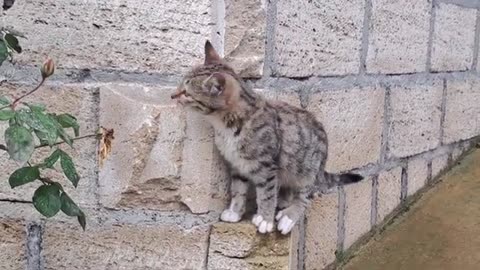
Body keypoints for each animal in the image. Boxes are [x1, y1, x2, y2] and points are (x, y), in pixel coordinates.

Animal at [171, 40, 362, 234]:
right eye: (181, 86)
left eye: (186, 93)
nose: (172, 95)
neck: (226, 126)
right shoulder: (237, 164)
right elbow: (238, 189)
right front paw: (235, 212)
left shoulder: (267, 166)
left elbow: (267, 194)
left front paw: (265, 219)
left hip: (307, 171)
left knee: (305, 197)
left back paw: (288, 216)